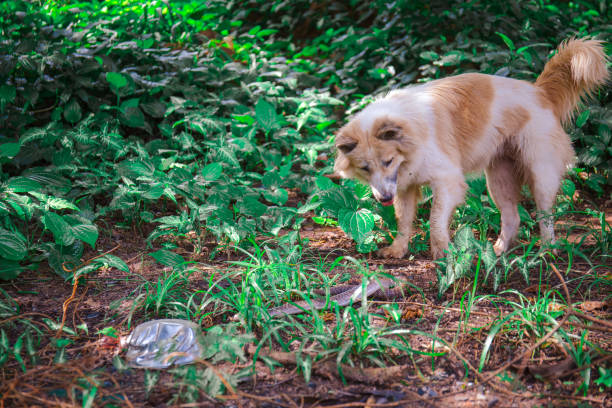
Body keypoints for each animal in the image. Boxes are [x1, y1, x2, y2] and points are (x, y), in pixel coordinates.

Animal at [334, 38, 608, 258]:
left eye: (388, 161)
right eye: (365, 168)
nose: (383, 199)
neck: (412, 135)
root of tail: (540, 91)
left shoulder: (448, 181)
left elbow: (435, 219)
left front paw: (443, 254)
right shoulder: (404, 187)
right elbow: (403, 222)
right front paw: (398, 250)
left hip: (540, 174)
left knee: (545, 215)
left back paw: (546, 251)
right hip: (499, 181)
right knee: (512, 217)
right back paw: (498, 251)